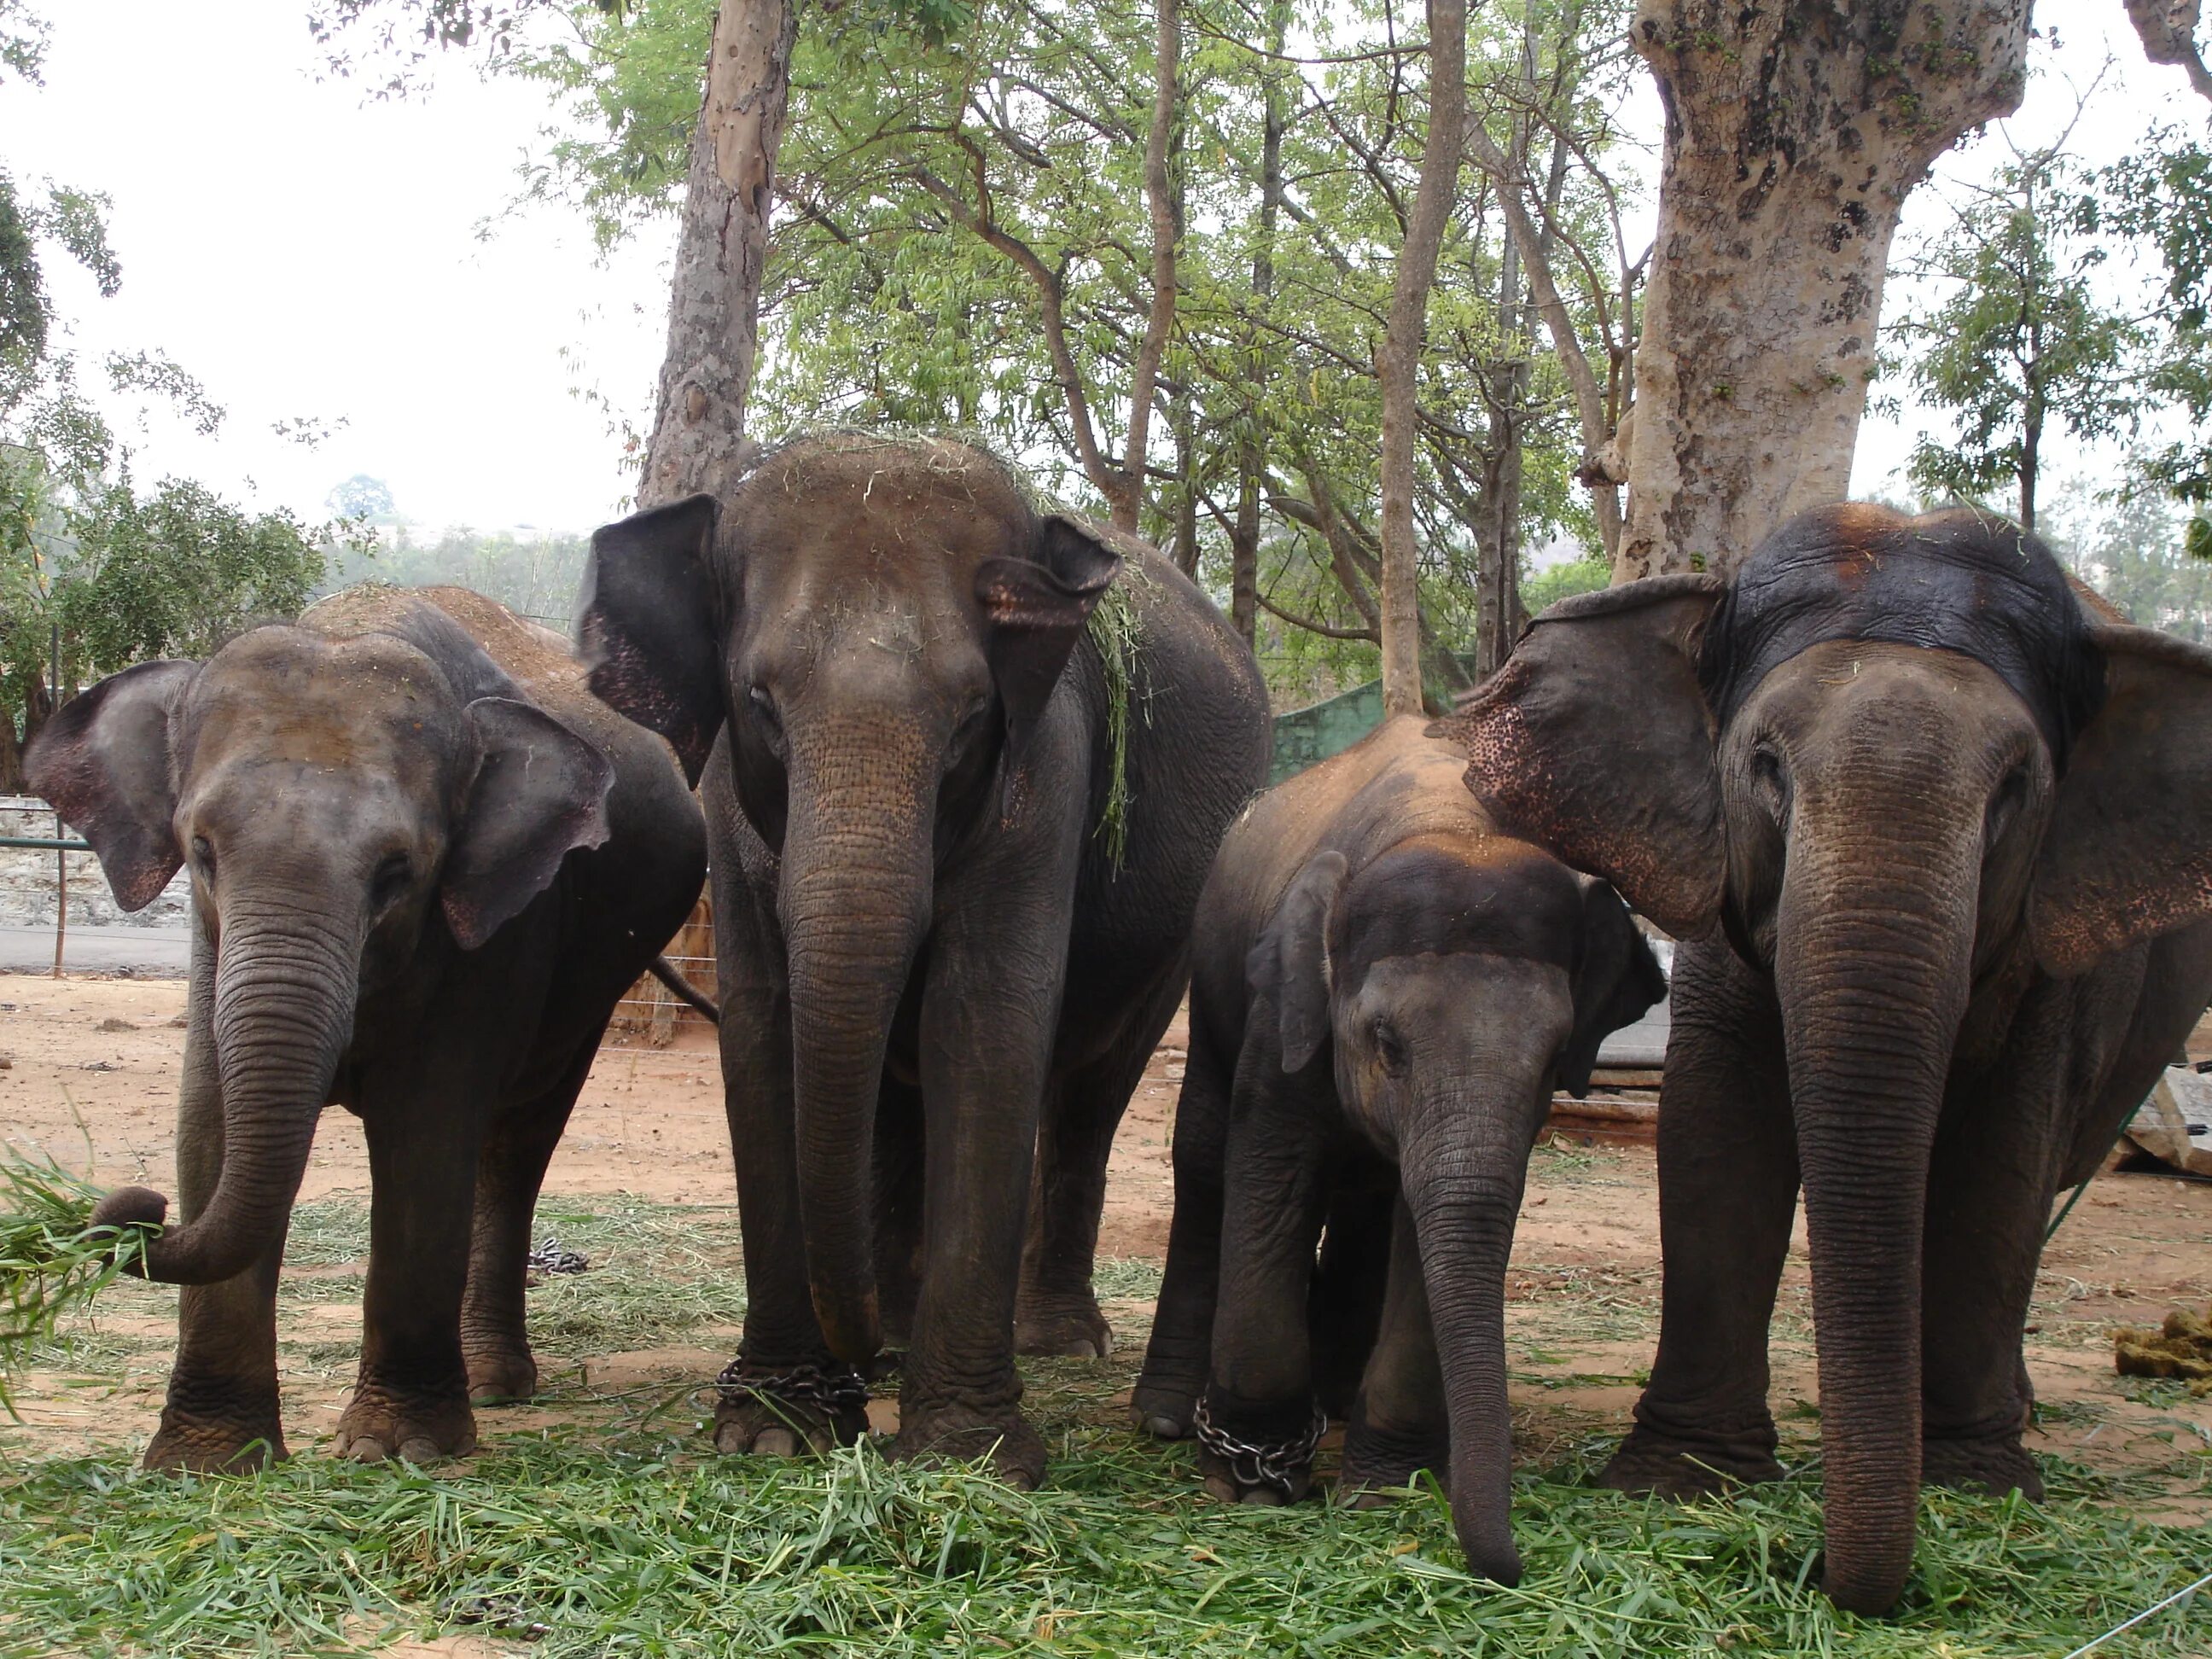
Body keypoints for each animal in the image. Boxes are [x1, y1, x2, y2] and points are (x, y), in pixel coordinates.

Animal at [27, 592, 707, 1477]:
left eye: (397, 873)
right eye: (200, 851)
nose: (136, 1208)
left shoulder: (492, 926)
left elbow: (425, 1135)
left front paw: (396, 1449)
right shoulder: (211, 948)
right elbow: (210, 1126)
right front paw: (204, 1464)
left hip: (589, 982)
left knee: (516, 1143)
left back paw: (492, 1383)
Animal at [570, 435, 1273, 1486]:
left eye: (972, 713)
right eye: (760, 703)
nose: (857, 1373)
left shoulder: (1047, 762)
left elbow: (983, 1020)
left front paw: (966, 1458)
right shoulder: (728, 804)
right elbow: (767, 1026)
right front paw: (774, 1432)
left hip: (1180, 926)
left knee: (1091, 1091)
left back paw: (1056, 1342)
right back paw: (903, 1337)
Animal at [1123, 720, 1663, 1592]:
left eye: (1556, 1057)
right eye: (1386, 1042)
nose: (1510, 1570)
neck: (1450, 825)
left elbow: (1438, 1216)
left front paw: (1385, 1493)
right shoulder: (1286, 1009)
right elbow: (1272, 1173)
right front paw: (1252, 1485)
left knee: (1370, 1202)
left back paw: (1340, 1398)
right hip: (1210, 979)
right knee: (1204, 1158)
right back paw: (1170, 1416)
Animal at [1441, 504, 2212, 1610]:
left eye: (2018, 787)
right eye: (1764, 764)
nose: (1838, 1583)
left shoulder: (2060, 954)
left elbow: (2002, 1159)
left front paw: (1980, 1488)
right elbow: (1721, 1129)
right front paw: (1682, 1481)